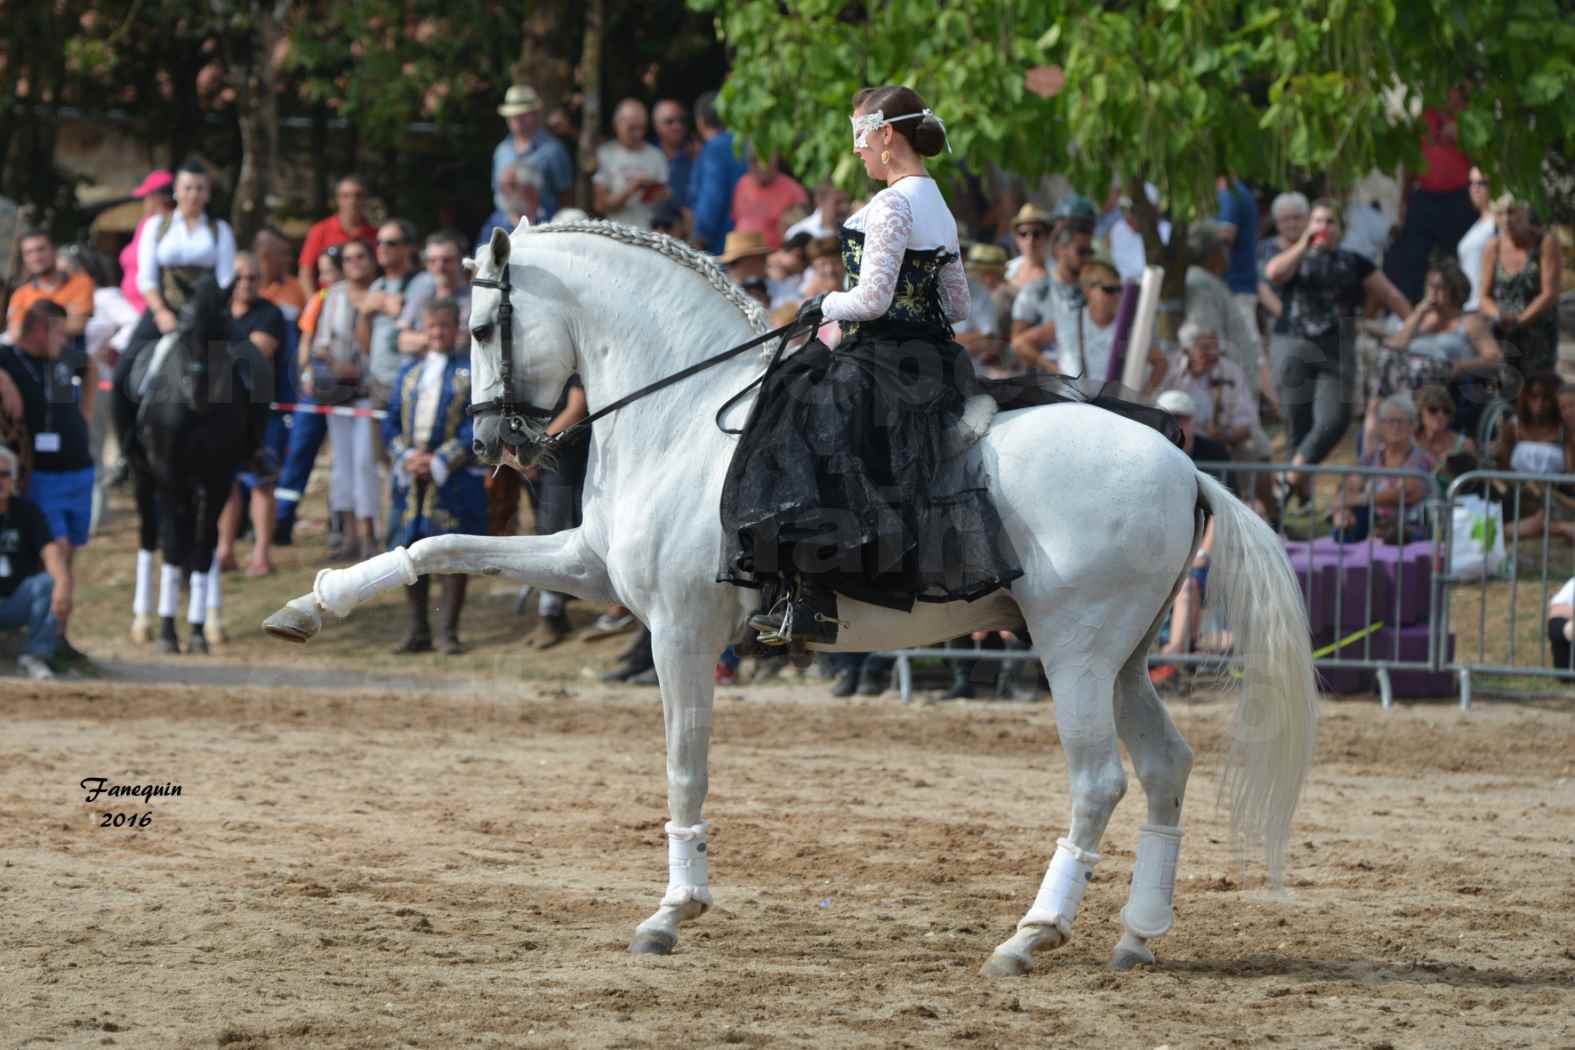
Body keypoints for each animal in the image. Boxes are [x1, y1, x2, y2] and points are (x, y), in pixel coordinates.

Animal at [113, 275, 270, 651]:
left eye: (223, 329)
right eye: (184, 330)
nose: (198, 391)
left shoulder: (218, 479)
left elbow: (204, 549)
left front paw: (198, 633)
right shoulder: (169, 477)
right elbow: (171, 547)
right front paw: (169, 632)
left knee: (204, 540)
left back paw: (212, 624)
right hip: (145, 478)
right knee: (149, 536)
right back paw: (143, 622)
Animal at [267, 220, 1316, 976]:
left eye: (483, 329)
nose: (492, 447)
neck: (680, 413)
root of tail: (1186, 464)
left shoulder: (680, 629)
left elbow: (684, 765)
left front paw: (671, 912)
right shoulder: (590, 565)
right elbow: (437, 543)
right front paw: (310, 608)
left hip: (1075, 653)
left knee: (1098, 781)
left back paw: (1030, 935)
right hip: (1127, 658)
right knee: (1167, 768)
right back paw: (1136, 935)